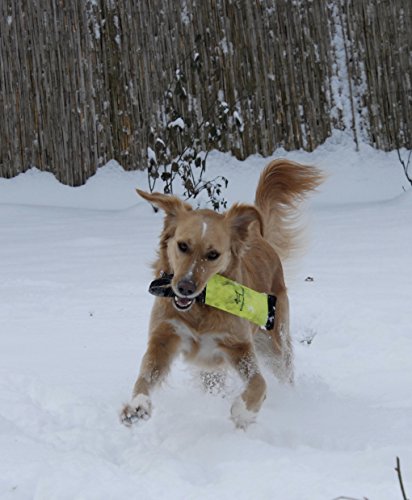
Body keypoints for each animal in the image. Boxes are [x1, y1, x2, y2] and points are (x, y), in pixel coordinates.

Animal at [120, 160, 324, 430]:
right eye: (182, 245)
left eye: (213, 255)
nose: (185, 288)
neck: (200, 307)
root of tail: (258, 236)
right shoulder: (164, 337)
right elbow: (145, 375)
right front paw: (137, 406)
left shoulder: (239, 346)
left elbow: (258, 382)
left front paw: (243, 412)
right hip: (212, 370)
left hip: (273, 344)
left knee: (284, 371)